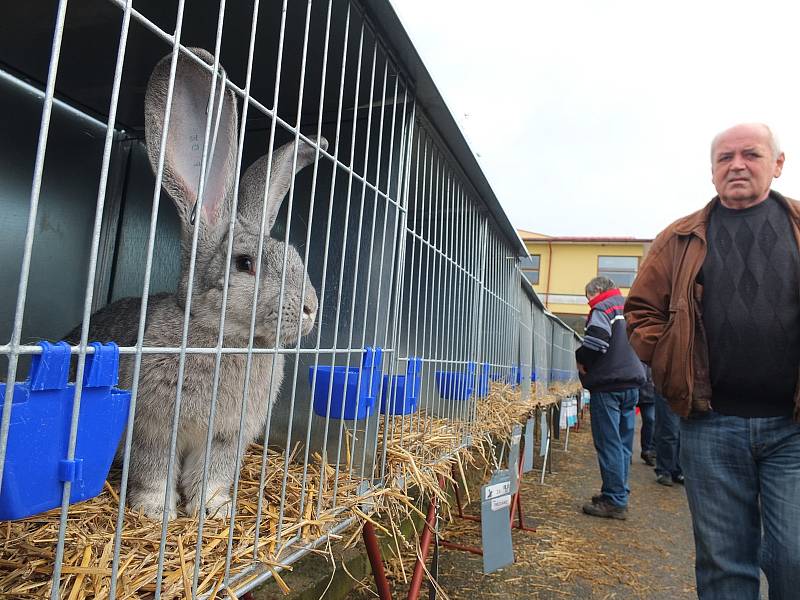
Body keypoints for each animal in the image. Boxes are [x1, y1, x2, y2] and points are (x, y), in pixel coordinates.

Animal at [65, 50, 326, 520]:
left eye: (296, 258)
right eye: (245, 264)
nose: (311, 308)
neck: (226, 340)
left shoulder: (225, 437)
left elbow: (213, 474)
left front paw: (215, 510)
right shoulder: (151, 428)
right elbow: (153, 470)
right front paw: (158, 513)